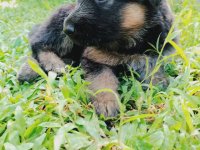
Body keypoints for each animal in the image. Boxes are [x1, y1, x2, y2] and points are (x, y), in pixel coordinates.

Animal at [17, 0, 177, 117]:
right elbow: (102, 79)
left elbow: (152, 62)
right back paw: (48, 65)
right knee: (38, 44)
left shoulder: (163, 50)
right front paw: (106, 102)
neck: (130, 41)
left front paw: (156, 80)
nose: (66, 28)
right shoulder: (94, 57)